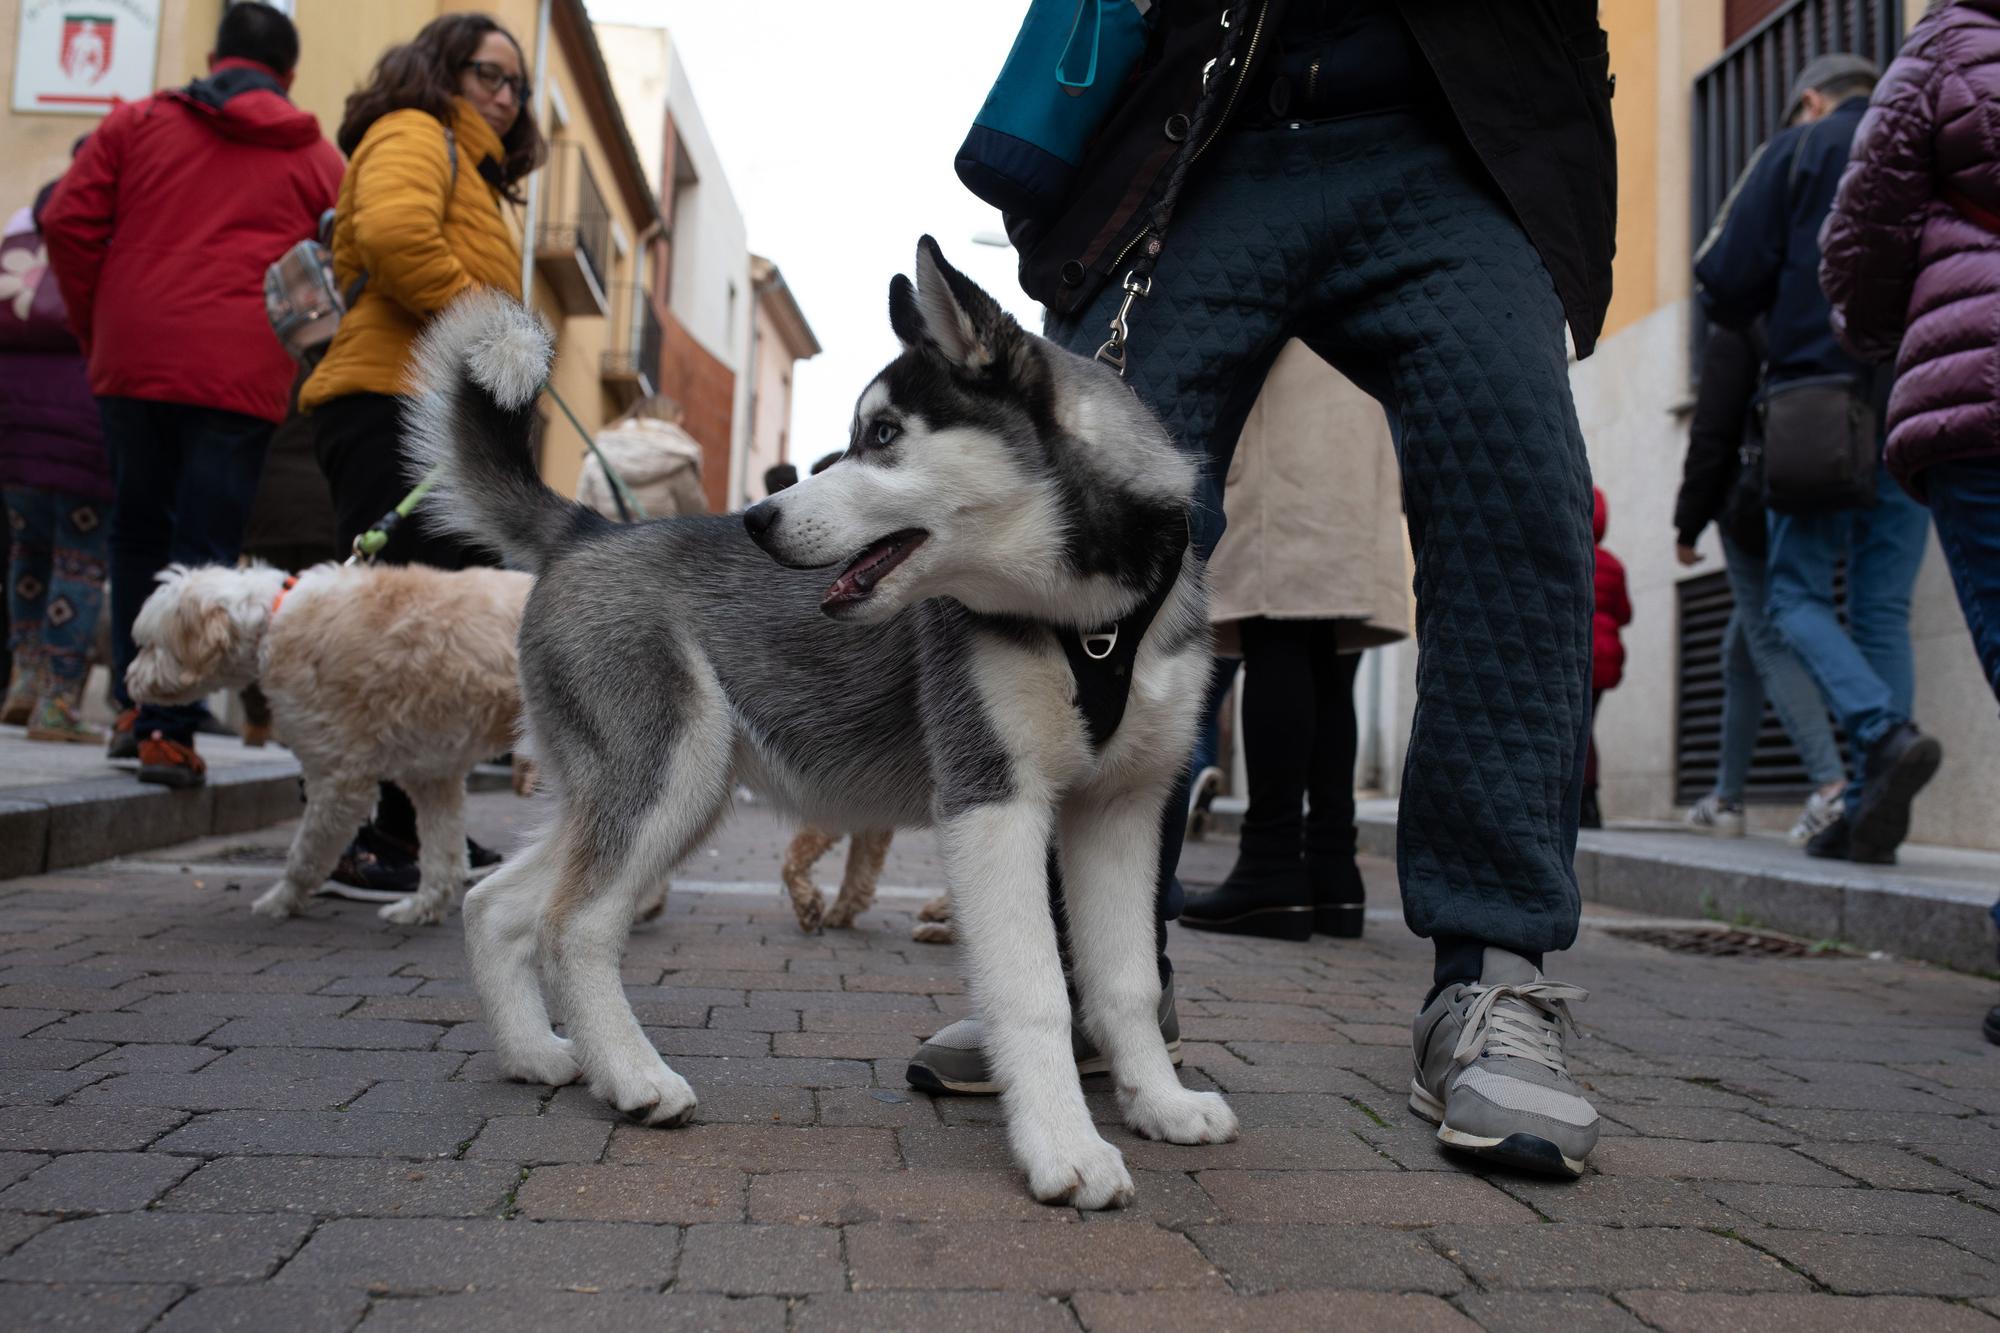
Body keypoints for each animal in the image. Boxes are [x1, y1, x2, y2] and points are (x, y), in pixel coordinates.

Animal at [124, 560, 532, 924]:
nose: (129, 682)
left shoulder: (339, 778)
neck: (271, 621)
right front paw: (420, 909)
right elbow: (442, 858)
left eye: (149, 646)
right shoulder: (432, 774)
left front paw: (281, 901)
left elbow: (305, 856)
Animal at [406, 236, 1232, 1200]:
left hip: (647, 791)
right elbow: (1033, 989)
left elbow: (1126, 981)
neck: (1094, 622)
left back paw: (535, 1052)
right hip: (668, 778)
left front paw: (1161, 1103)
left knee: (497, 900)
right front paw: (1066, 1147)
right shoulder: (992, 800)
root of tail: (589, 531)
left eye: (884, 436)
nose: (759, 520)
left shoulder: (1122, 810)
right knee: (572, 923)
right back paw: (635, 1077)